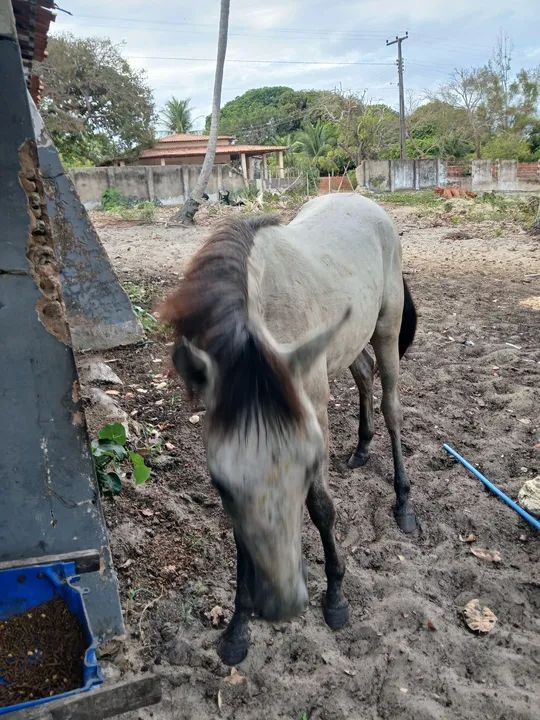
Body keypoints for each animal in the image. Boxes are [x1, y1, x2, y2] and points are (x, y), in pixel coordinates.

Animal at [158, 193, 418, 665]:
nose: (280, 603)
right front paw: (238, 628)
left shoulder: (313, 413)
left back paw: (404, 502)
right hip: (347, 342)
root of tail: (366, 202)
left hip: (386, 330)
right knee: (363, 372)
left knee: (392, 407)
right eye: (220, 484)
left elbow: (322, 507)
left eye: (309, 464)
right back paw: (361, 448)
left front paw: (336, 597)